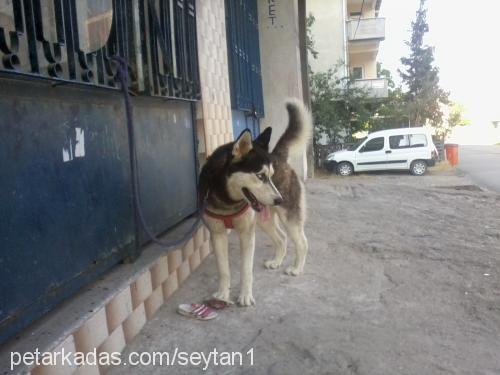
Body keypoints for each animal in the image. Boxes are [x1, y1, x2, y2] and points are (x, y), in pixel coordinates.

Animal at [198, 99, 308, 306]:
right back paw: (277, 261)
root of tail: (277, 155)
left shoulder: (247, 233)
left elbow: (246, 270)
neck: (227, 201)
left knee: (302, 243)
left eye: (271, 176)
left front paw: (245, 296)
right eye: (260, 176)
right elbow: (223, 270)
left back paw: (297, 268)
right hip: (264, 220)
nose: (279, 199)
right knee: (282, 238)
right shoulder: (217, 234)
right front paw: (222, 295)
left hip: (288, 218)